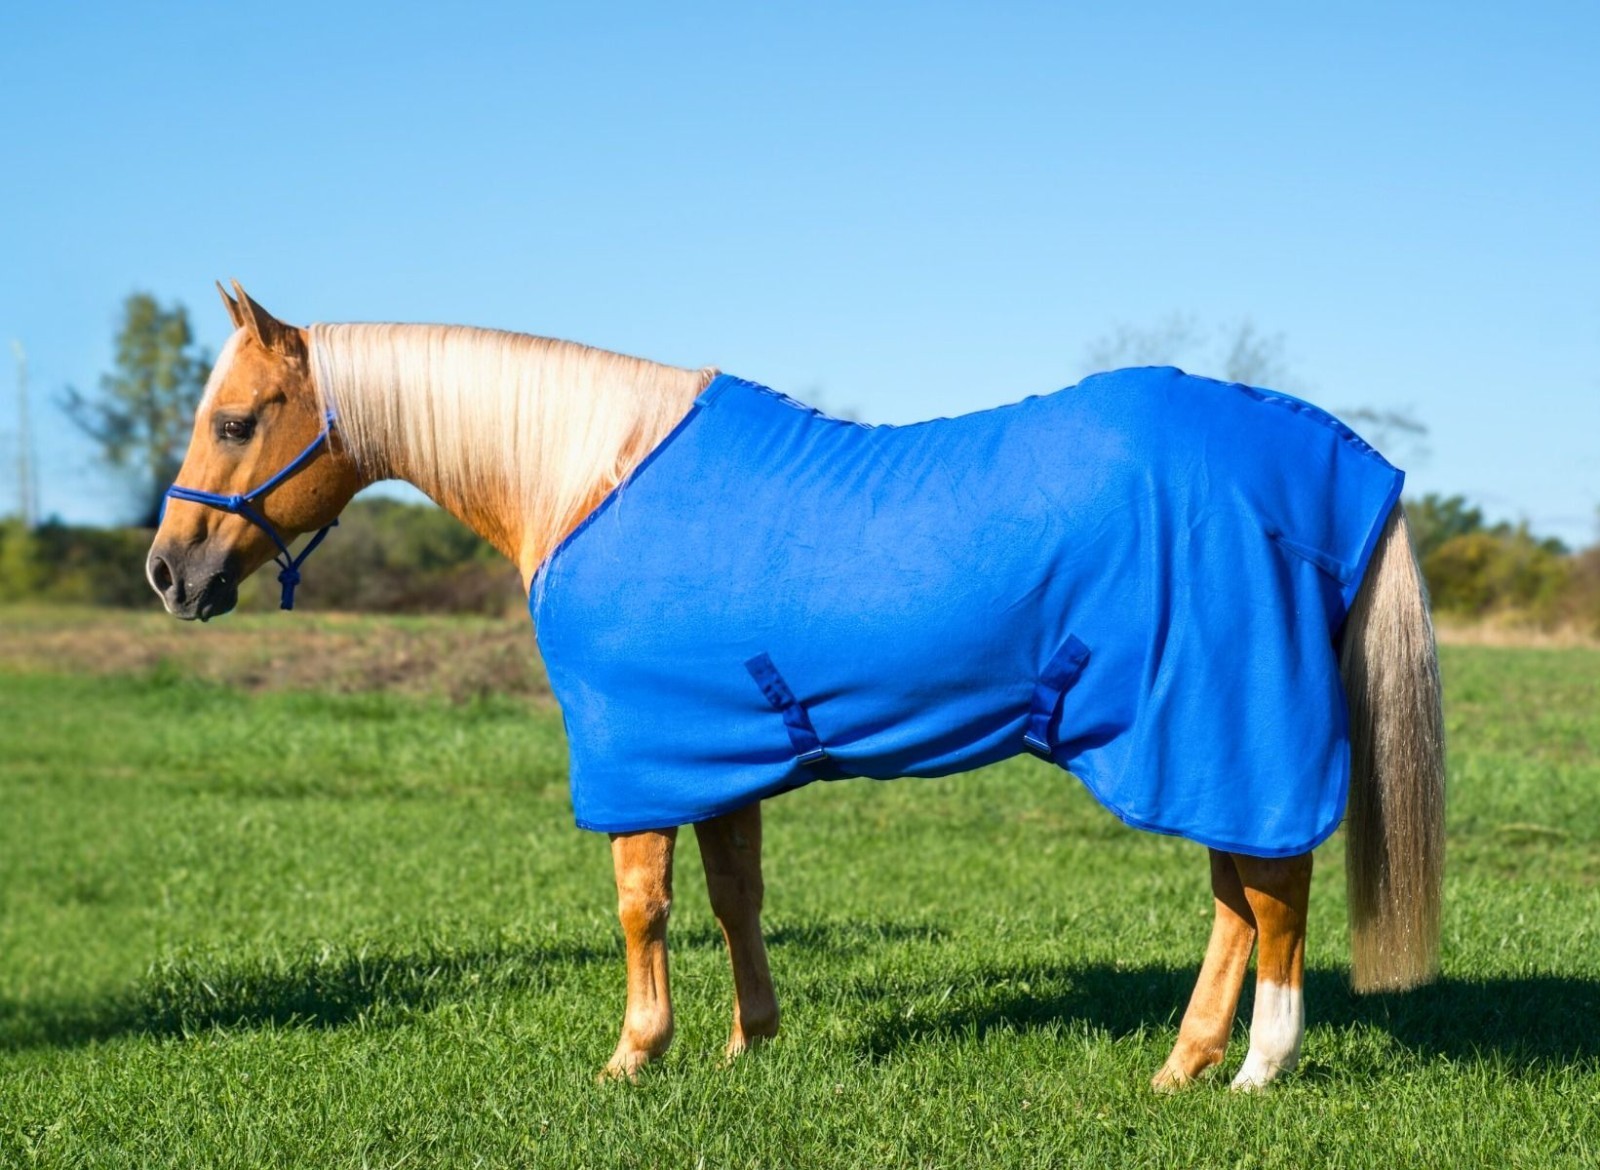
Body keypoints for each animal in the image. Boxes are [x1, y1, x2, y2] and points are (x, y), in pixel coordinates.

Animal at [147, 282, 1444, 1090]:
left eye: (236, 420)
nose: (170, 572)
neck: (585, 474)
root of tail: (1333, 465)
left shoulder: (642, 752)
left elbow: (642, 905)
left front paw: (634, 1055)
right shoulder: (717, 754)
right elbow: (735, 900)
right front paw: (745, 1046)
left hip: (1220, 726)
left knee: (1271, 891)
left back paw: (1258, 1070)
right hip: (1191, 740)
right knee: (1239, 899)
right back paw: (1182, 1067)